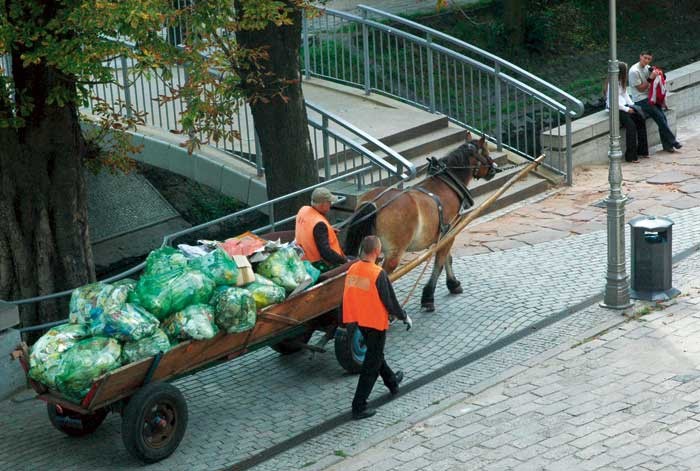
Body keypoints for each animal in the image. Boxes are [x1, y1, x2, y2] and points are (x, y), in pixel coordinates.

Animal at [344, 131, 498, 312]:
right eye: (486, 152)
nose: (495, 168)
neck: (448, 184)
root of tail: (374, 204)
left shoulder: (443, 235)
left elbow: (447, 259)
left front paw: (453, 284)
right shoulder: (450, 233)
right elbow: (439, 262)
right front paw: (428, 296)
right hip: (393, 254)